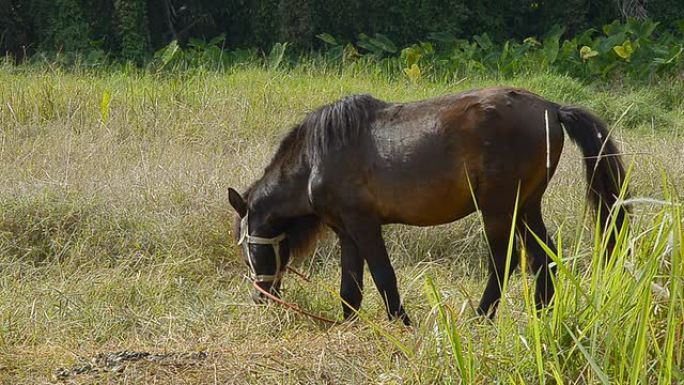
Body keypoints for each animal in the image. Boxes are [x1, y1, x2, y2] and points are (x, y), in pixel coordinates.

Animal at [227, 88, 628, 326]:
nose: (260, 297)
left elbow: (382, 274)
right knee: (544, 257)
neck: (315, 158)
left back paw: (481, 317)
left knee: (504, 263)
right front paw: (348, 324)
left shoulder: (364, 225)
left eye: (248, 249)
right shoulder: (346, 231)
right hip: (527, 206)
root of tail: (551, 108)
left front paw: (400, 322)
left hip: (499, 209)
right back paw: (544, 316)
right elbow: (350, 286)